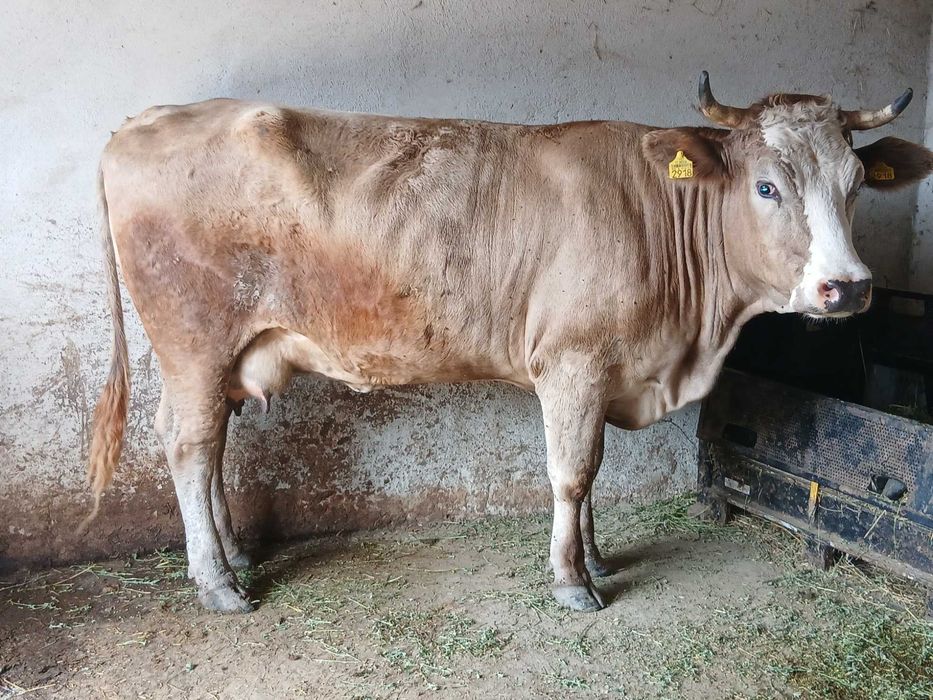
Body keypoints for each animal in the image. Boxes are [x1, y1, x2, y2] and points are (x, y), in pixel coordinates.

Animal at [86, 72, 933, 614]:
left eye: (856, 185)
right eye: (765, 186)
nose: (847, 287)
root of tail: (149, 118)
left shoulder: (601, 370)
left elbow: (589, 474)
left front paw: (593, 557)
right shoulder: (573, 362)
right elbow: (572, 472)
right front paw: (571, 582)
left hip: (224, 353)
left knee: (211, 446)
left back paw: (233, 554)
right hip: (193, 341)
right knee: (189, 443)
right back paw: (217, 583)